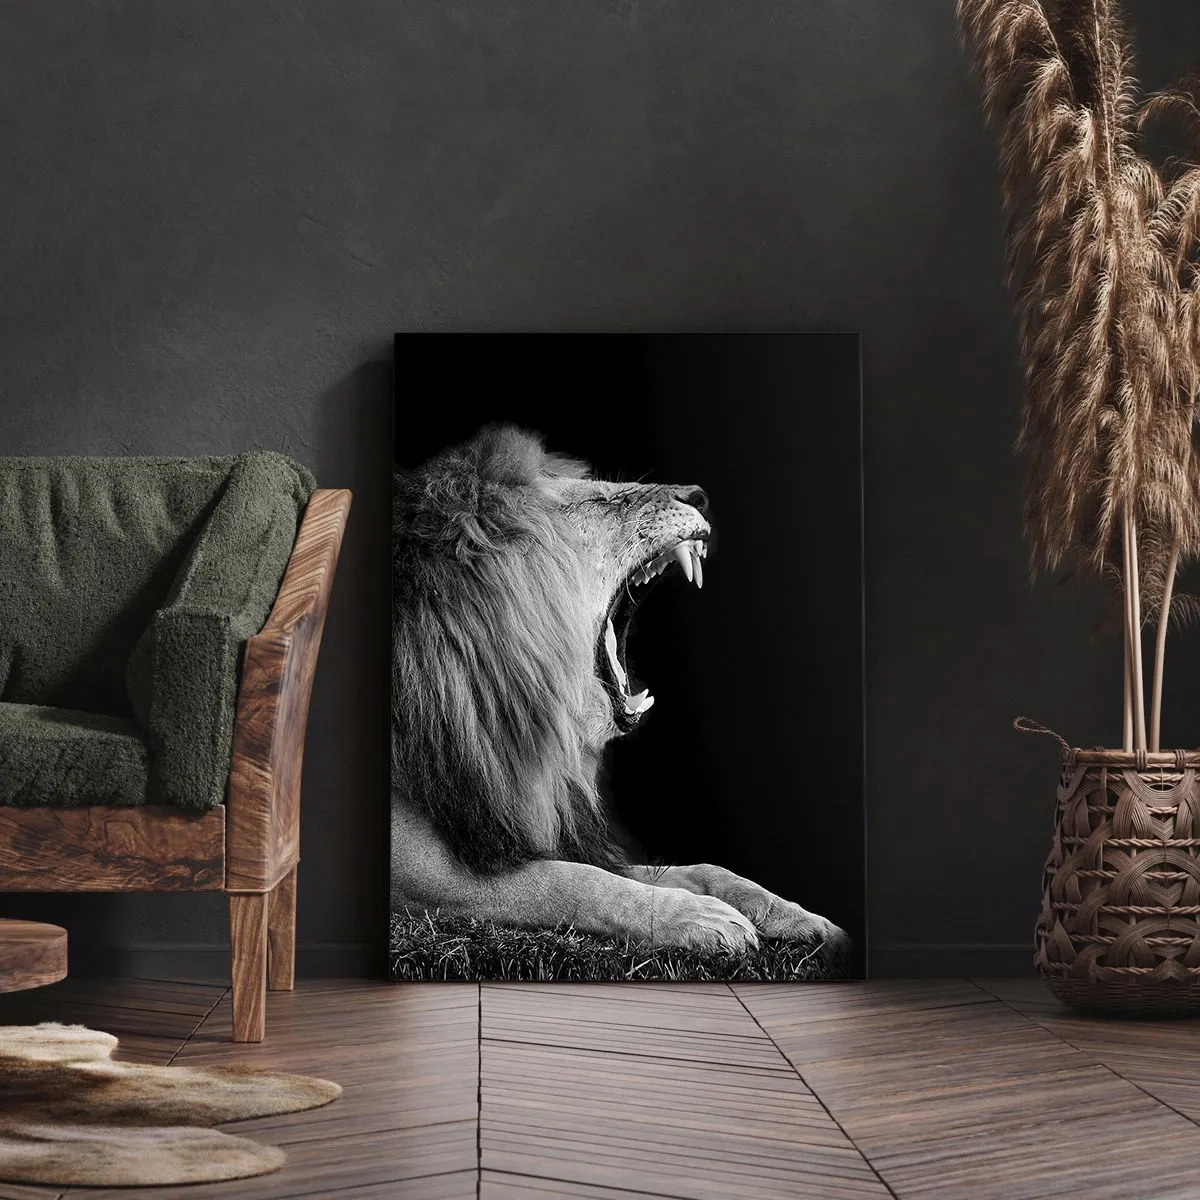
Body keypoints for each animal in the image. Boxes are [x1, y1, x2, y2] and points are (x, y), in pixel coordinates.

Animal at [390, 423, 850, 958]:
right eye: (598, 500)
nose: (699, 496)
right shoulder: (423, 870)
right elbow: (571, 881)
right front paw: (700, 917)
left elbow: (699, 868)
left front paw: (799, 916)